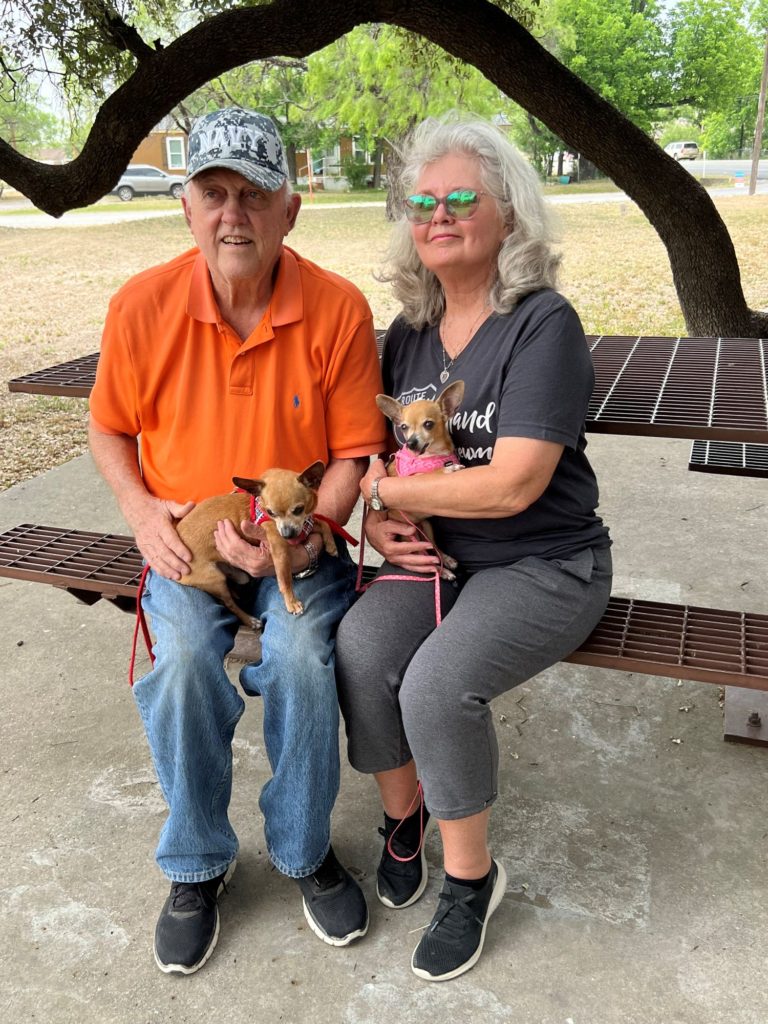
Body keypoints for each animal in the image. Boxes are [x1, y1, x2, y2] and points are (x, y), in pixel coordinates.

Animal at [176, 461, 337, 621]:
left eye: (298, 509)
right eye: (271, 512)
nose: (286, 534)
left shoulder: (302, 529)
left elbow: (323, 523)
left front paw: (331, 545)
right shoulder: (280, 549)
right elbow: (285, 578)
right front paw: (292, 603)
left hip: (238, 577)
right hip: (215, 580)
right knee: (229, 604)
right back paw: (250, 621)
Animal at [375, 380, 465, 580]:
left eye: (428, 424)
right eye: (404, 427)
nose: (410, 443)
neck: (433, 456)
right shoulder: (410, 479)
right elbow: (430, 474)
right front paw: (447, 469)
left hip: (426, 527)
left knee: (434, 548)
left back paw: (446, 560)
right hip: (411, 537)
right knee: (427, 560)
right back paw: (443, 571)